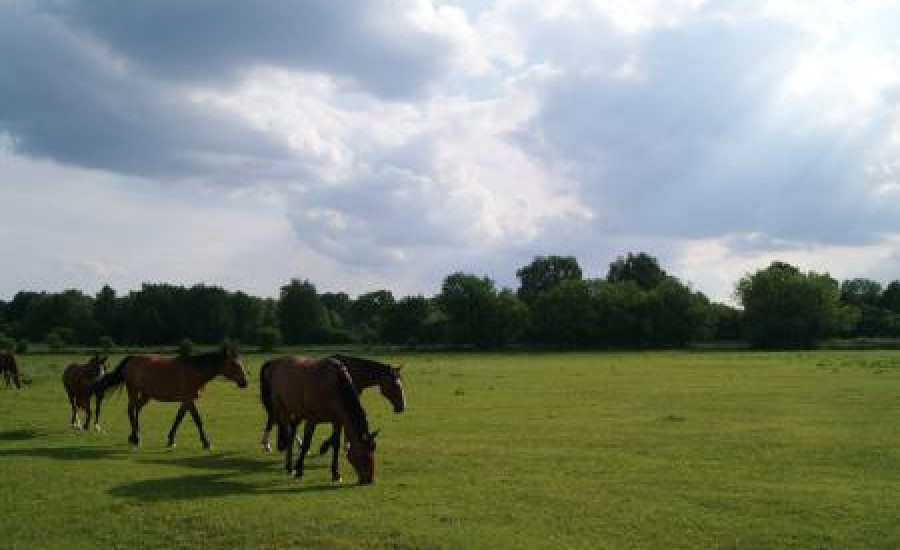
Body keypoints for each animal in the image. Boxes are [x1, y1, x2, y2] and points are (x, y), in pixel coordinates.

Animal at [91, 350, 248, 452]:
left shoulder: (186, 401)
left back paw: (135, 435)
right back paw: (136, 438)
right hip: (133, 391)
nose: (245, 382)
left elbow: (179, 418)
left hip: (146, 395)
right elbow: (197, 420)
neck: (195, 371)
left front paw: (171, 439)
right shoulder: (189, 400)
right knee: (131, 410)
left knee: (136, 410)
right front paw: (206, 443)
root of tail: (132, 358)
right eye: (234, 364)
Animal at [258, 356, 402, 464]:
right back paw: (268, 444)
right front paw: (327, 447)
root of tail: (273, 363)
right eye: (395, 385)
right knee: (274, 418)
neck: (350, 370)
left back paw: (294, 443)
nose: (401, 406)